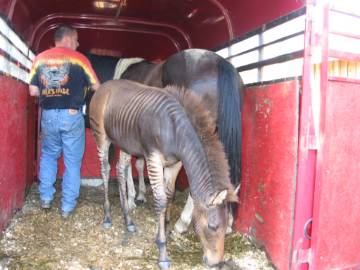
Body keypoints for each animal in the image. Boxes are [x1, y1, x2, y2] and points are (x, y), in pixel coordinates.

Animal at [89, 79, 238, 268]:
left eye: (227, 228)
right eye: (213, 226)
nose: (216, 264)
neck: (174, 130)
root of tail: (104, 85)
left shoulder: (175, 163)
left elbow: (168, 194)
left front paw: (162, 230)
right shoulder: (153, 158)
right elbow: (160, 200)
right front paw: (162, 252)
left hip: (125, 142)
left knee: (120, 169)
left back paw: (127, 218)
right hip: (101, 136)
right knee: (105, 170)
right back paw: (108, 216)